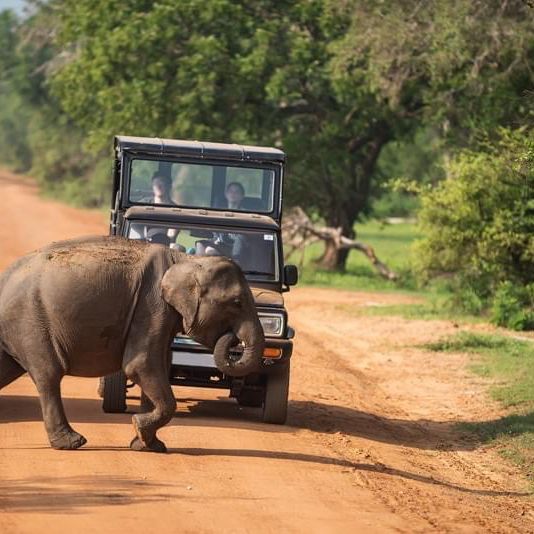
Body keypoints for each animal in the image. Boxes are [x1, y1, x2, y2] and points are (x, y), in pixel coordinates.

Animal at [0, 238, 264, 452]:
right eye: (237, 302)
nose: (232, 338)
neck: (186, 261)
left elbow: (159, 365)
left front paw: (148, 444)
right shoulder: (151, 306)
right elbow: (141, 364)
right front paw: (140, 427)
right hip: (30, 322)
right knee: (49, 375)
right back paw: (73, 443)